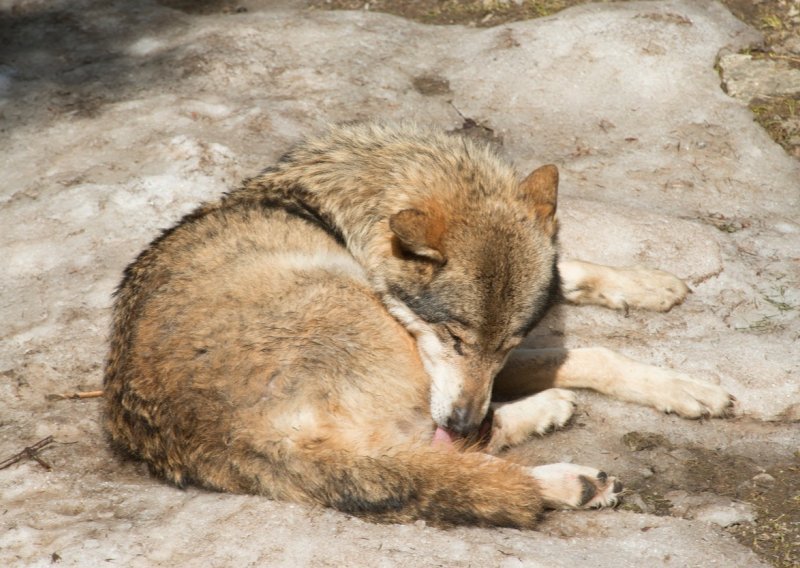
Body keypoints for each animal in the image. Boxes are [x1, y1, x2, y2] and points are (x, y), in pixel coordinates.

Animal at [103, 122, 736, 524]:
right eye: (454, 338)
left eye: (507, 342)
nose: (461, 418)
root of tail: (229, 439)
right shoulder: (442, 370)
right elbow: (583, 356)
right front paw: (683, 387)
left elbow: (572, 281)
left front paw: (653, 292)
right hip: (388, 356)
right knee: (436, 457)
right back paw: (564, 460)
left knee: (434, 461)